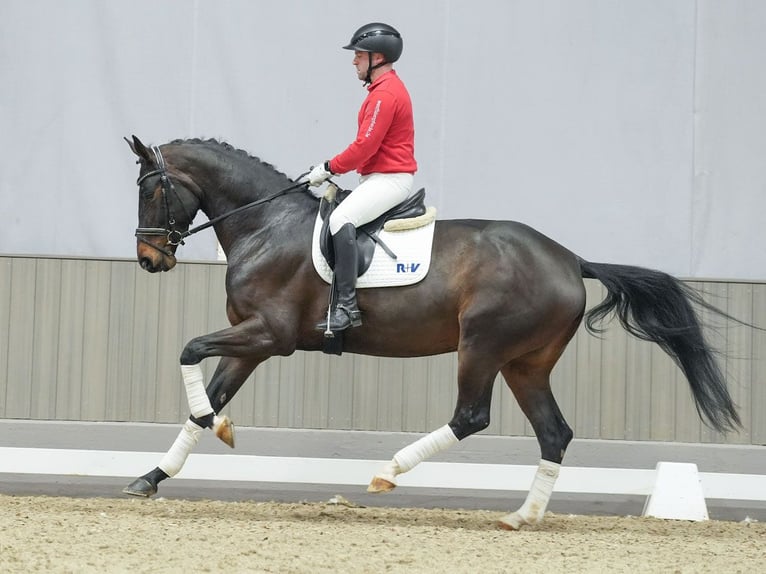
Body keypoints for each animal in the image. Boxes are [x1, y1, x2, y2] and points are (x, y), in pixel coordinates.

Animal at [126, 135, 744, 532]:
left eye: (150, 190)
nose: (149, 260)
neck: (265, 225)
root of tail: (571, 260)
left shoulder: (268, 336)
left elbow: (189, 351)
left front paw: (214, 426)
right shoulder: (250, 341)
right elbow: (206, 397)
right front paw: (155, 474)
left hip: (482, 347)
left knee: (471, 416)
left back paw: (387, 473)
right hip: (526, 363)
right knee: (554, 433)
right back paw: (523, 516)